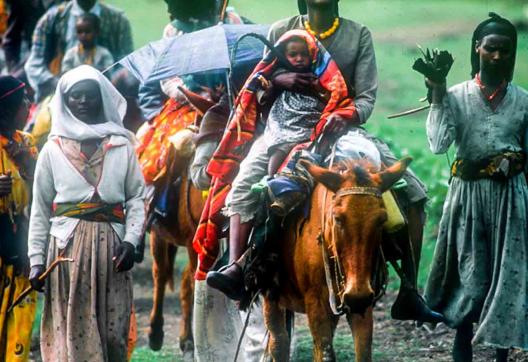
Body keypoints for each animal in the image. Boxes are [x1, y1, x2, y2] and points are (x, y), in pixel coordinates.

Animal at [264, 157, 412, 360]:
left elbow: (362, 352)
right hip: (271, 295)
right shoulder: (317, 303)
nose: (357, 296)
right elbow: (325, 351)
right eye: (338, 218)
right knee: (279, 342)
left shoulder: (362, 302)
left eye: (382, 219)